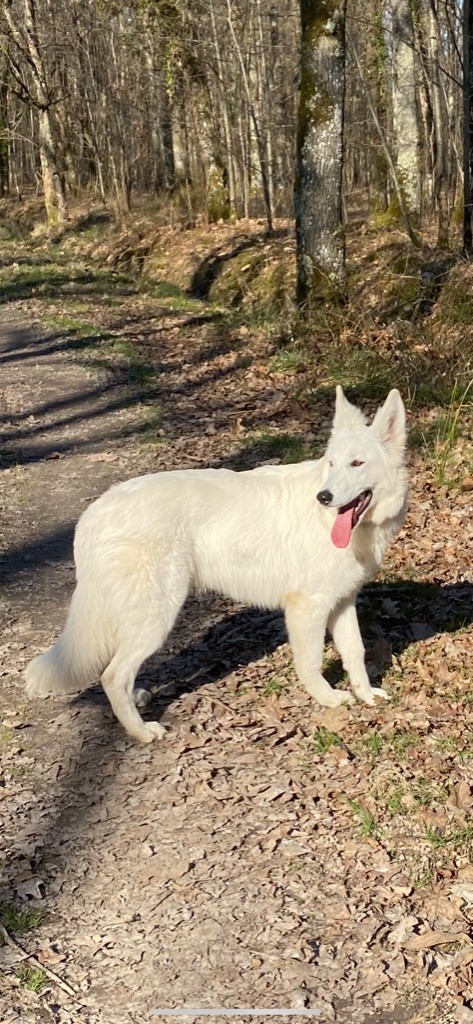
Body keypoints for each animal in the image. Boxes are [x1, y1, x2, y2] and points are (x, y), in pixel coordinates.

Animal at [25, 387, 407, 741]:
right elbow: (311, 662)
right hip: (158, 616)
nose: (323, 497)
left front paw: (366, 695)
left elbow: (355, 652)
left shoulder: (342, 602)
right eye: (331, 463)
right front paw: (328, 699)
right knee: (112, 675)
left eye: (356, 464)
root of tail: (94, 512)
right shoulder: (307, 608)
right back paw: (142, 731)